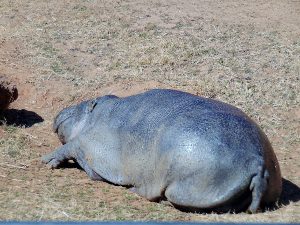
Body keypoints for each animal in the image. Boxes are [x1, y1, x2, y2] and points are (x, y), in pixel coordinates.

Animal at [41, 89, 282, 213]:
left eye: (84, 103)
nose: (63, 108)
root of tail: (257, 162)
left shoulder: (89, 143)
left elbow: (69, 146)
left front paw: (46, 161)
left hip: (182, 183)